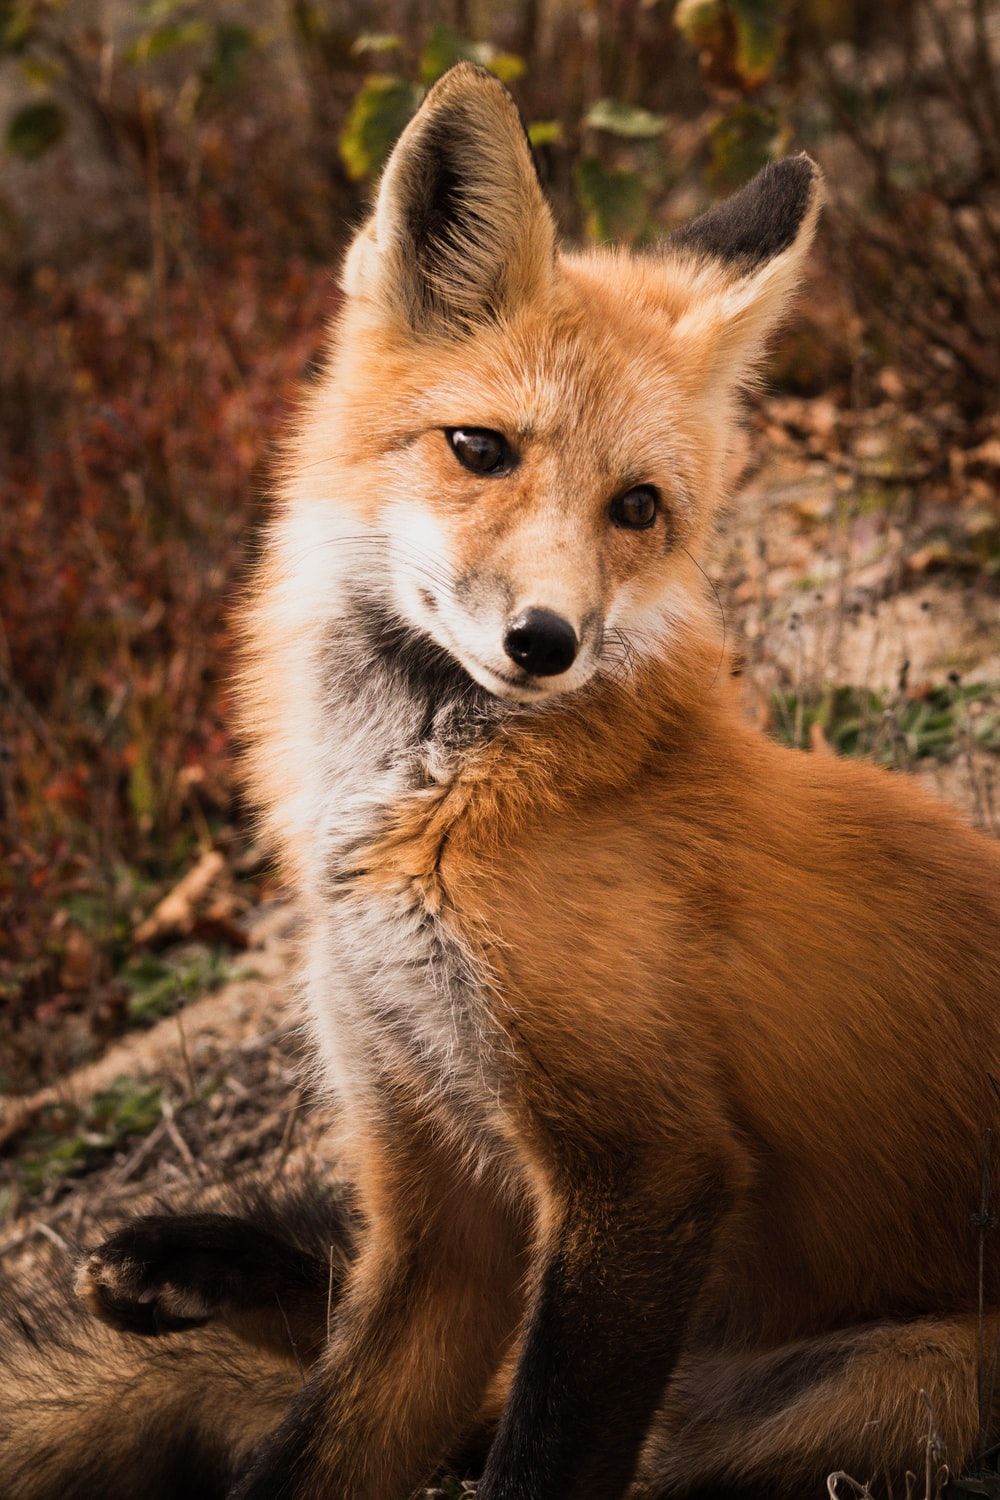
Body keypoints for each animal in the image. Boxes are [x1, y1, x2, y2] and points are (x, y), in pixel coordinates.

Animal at [3, 57, 1000, 1500]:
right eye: (478, 448)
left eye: (638, 508)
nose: (546, 641)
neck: (418, 817)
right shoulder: (430, 1177)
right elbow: (318, 1437)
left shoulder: (646, 1174)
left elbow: (539, 1451)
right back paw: (173, 1263)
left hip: (889, 1392)